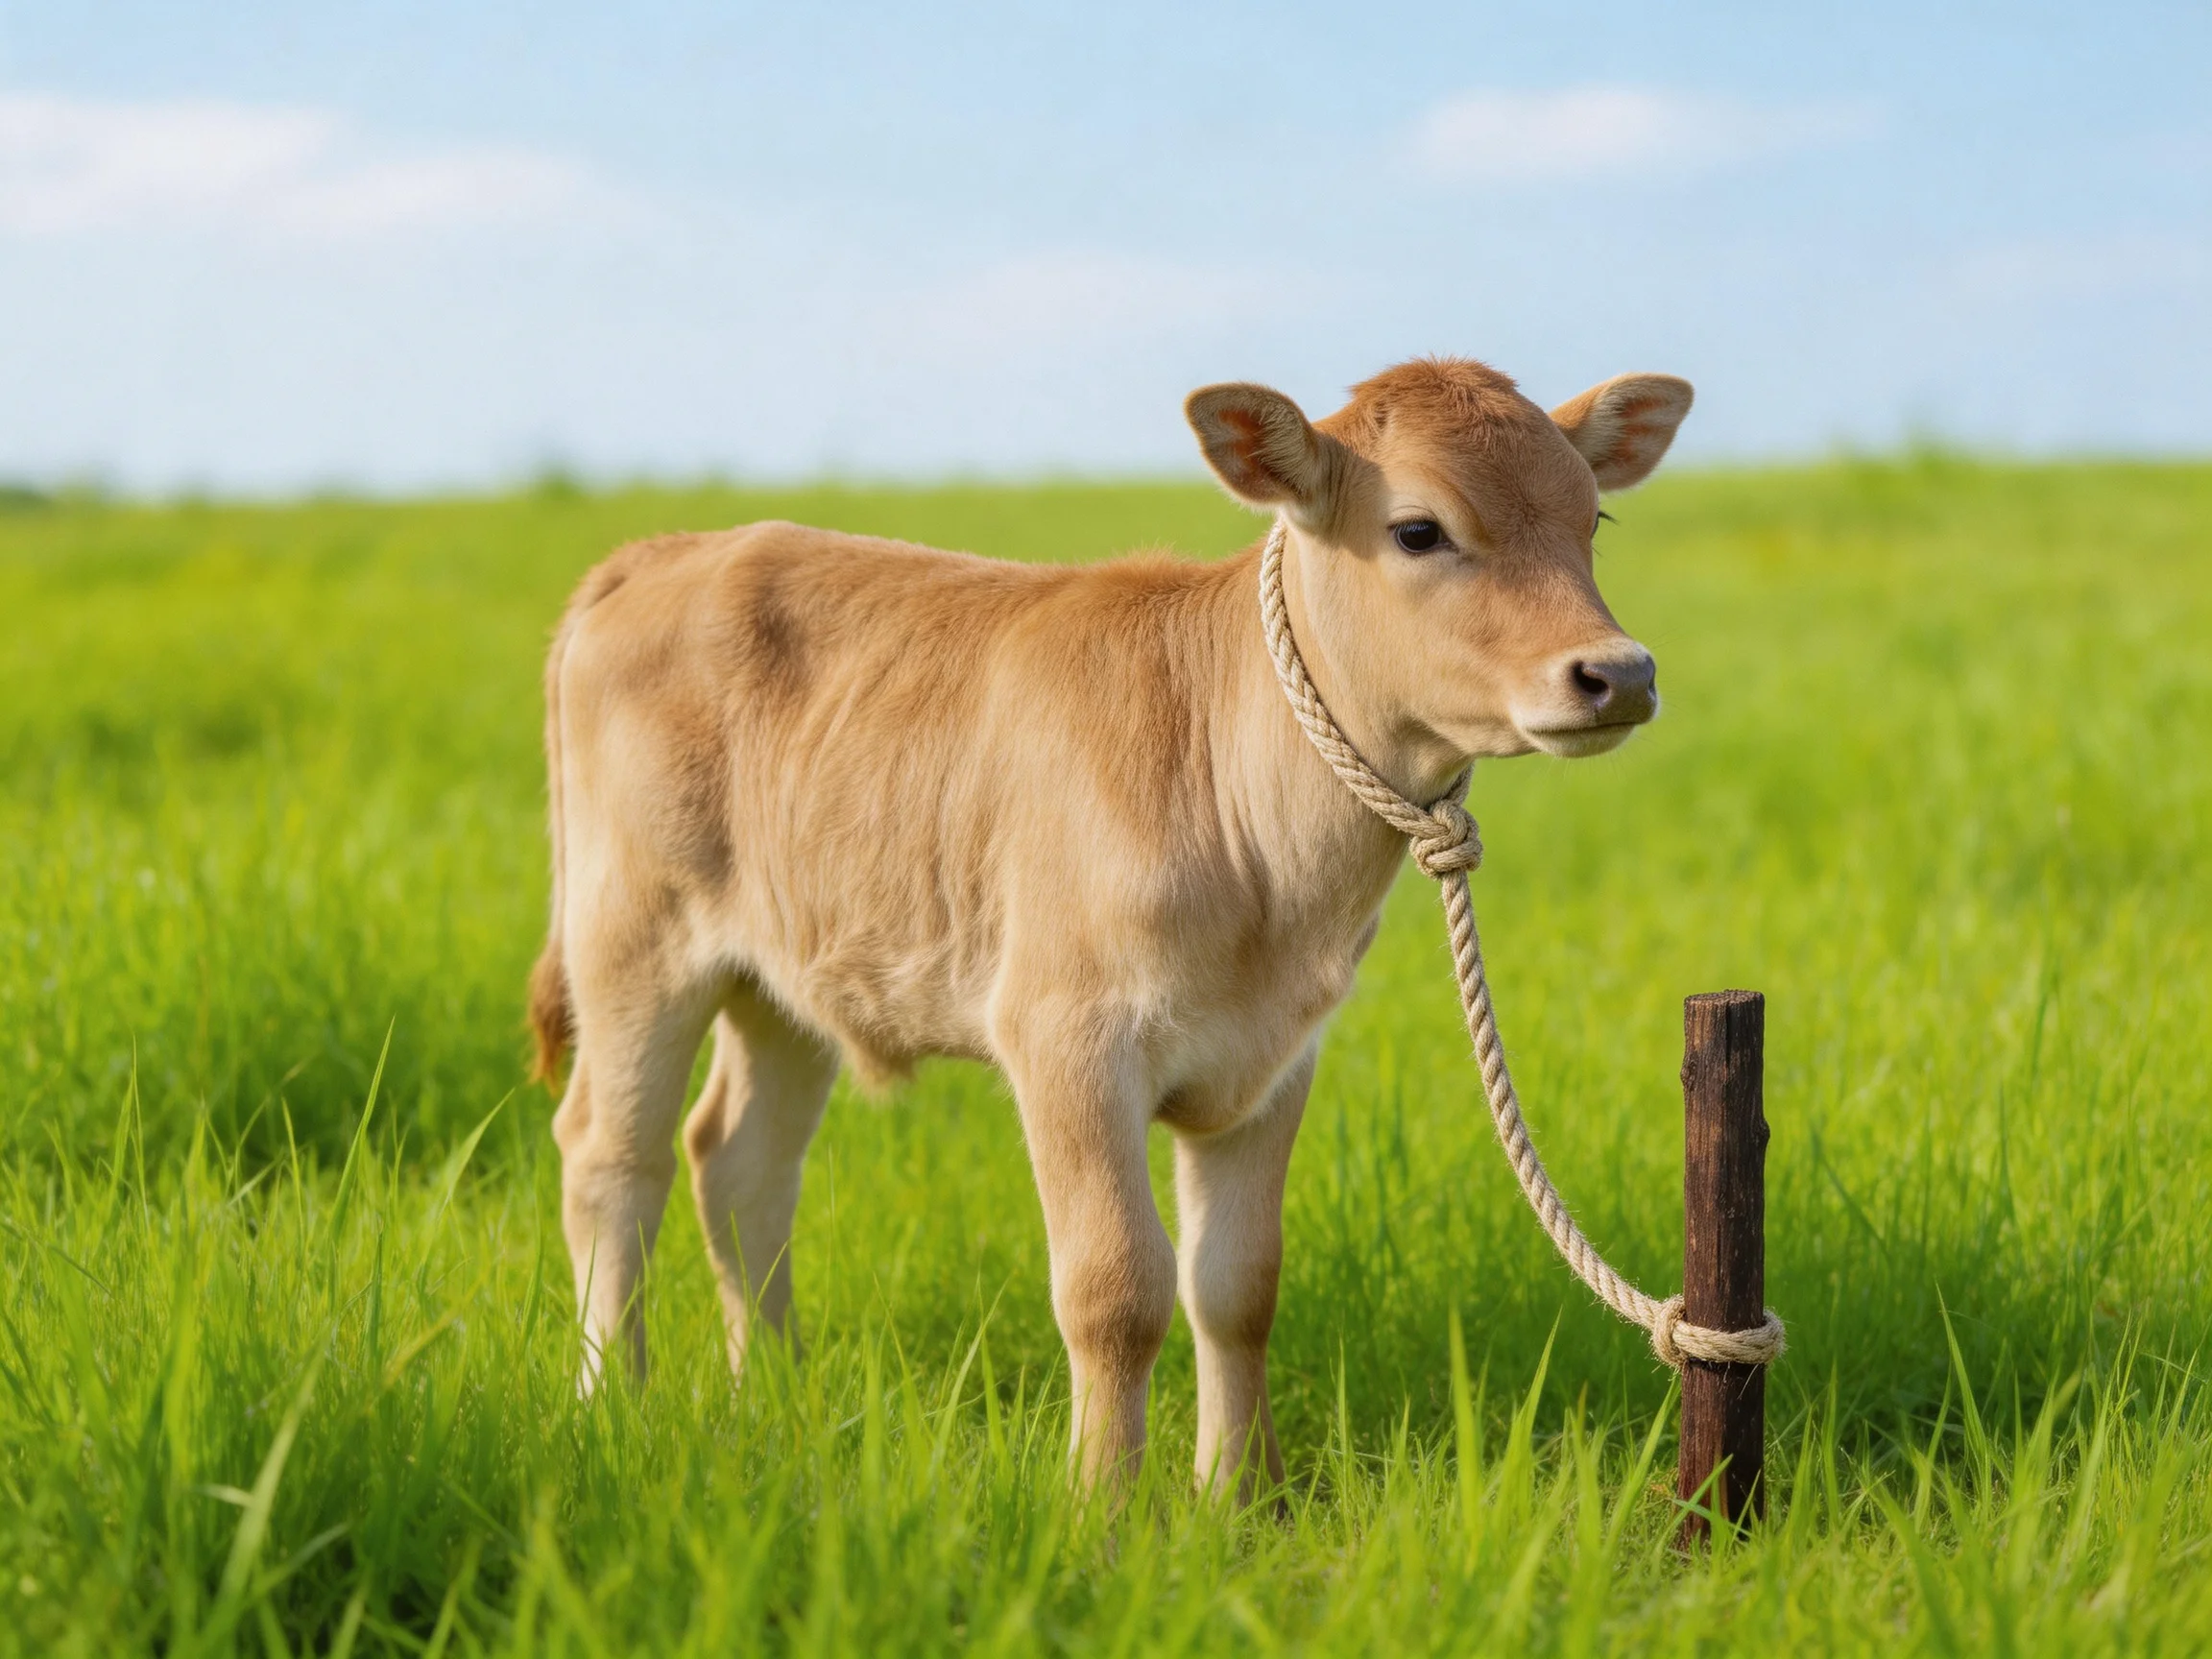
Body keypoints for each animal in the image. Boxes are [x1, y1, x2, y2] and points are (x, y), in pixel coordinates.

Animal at [527, 357, 1692, 1495]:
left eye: (1591, 517)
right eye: (1417, 530)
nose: (1621, 672)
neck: (1265, 872)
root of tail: (674, 550)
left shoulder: (1274, 1057)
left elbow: (1238, 1284)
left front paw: (1243, 1499)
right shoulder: (1065, 1038)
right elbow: (1116, 1289)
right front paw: (1104, 1508)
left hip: (786, 979)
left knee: (741, 1164)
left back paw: (775, 1390)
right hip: (633, 943)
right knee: (611, 1157)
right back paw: (611, 1402)